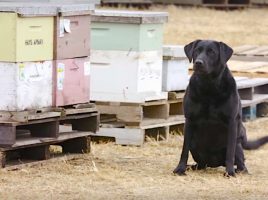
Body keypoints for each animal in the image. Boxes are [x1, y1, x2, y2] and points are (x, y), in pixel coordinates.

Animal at [173, 39, 268, 177]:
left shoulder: (232, 122)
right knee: (201, 164)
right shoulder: (189, 120)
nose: (198, 63)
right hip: (195, 145)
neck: (209, 86)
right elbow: (184, 150)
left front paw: (230, 172)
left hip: (238, 143)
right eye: (197, 51)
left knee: (241, 164)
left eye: (212, 52)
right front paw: (180, 168)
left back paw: (236, 170)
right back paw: (192, 167)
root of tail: (214, 164)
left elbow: (230, 152)